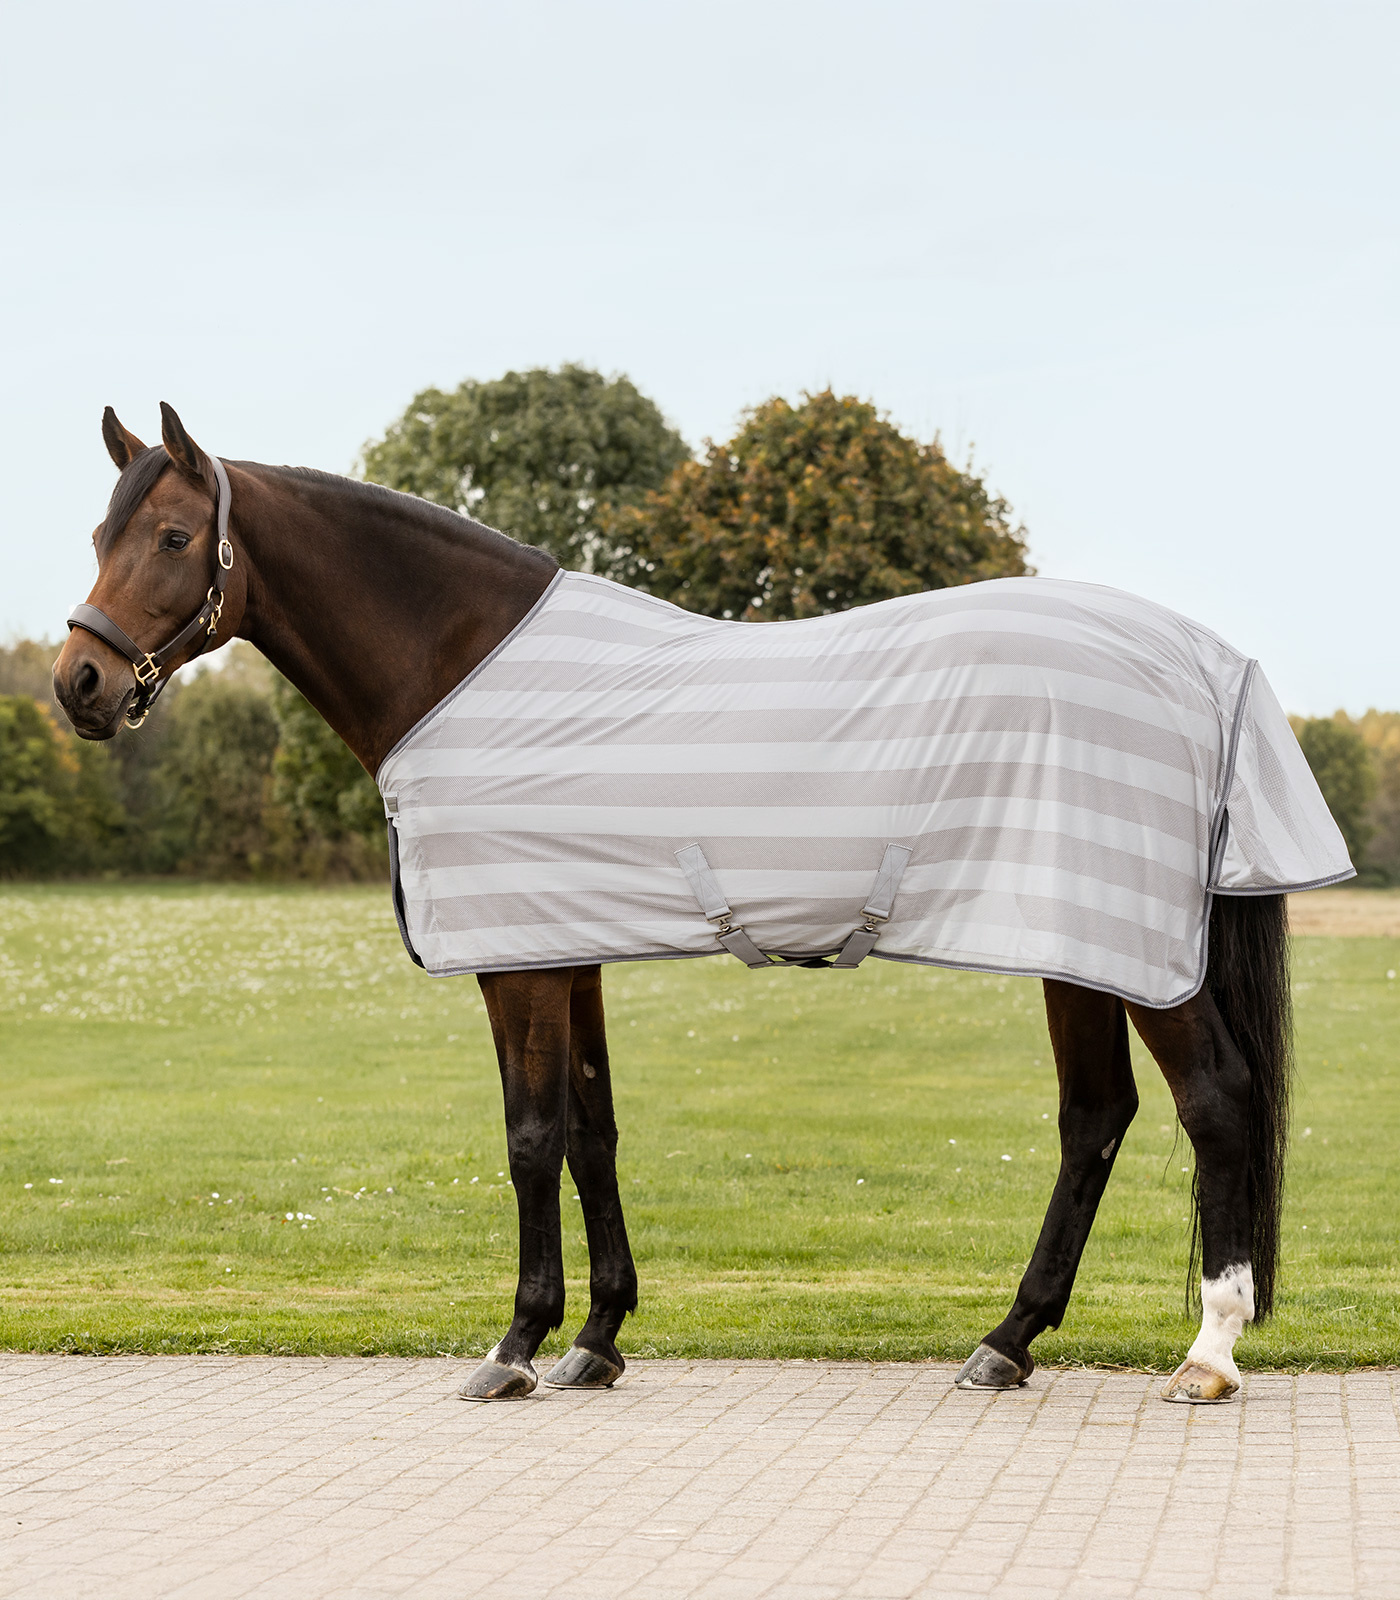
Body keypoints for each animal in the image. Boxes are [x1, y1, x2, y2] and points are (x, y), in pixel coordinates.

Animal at [54, 403, 1333, 1404]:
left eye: (174, 536)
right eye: (100, 533)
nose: (80, 683)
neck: (461, 662)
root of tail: (1211, 666)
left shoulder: (518, 961)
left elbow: (528, 1137)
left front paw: (514, 1344)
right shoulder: (567, 949)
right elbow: (591, 1131)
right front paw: (596, 1339)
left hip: (1127, 950)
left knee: (1213, 1100)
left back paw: (1206, 1354)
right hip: (1075, 945)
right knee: (1094, 1118)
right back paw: (1005, 1341)